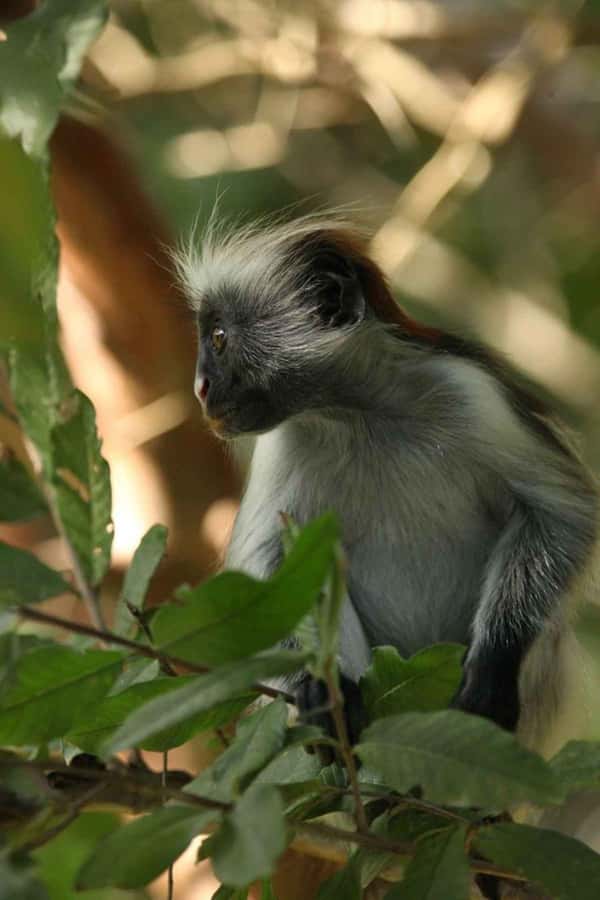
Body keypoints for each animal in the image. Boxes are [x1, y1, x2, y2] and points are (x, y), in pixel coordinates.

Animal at [175, 214, 598, 758]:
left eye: (219, 337)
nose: (200, 387)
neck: (361, 414)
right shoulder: (284, 442)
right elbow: (268, 569)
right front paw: (315, 689)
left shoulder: (471, 390)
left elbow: (564, 514)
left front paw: (493, 668)